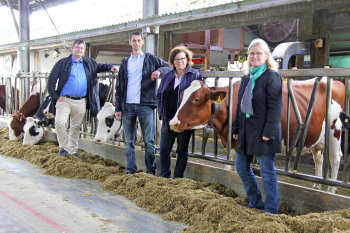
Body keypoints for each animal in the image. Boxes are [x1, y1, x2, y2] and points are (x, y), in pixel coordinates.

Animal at [171, 79, 346, 192]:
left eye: (196, 99)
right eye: (180, 97)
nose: (173, 122)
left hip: (335, 132)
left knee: (335, 159)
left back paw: (331, 190)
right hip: (316, 139)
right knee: (319, 158)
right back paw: (317, 186)